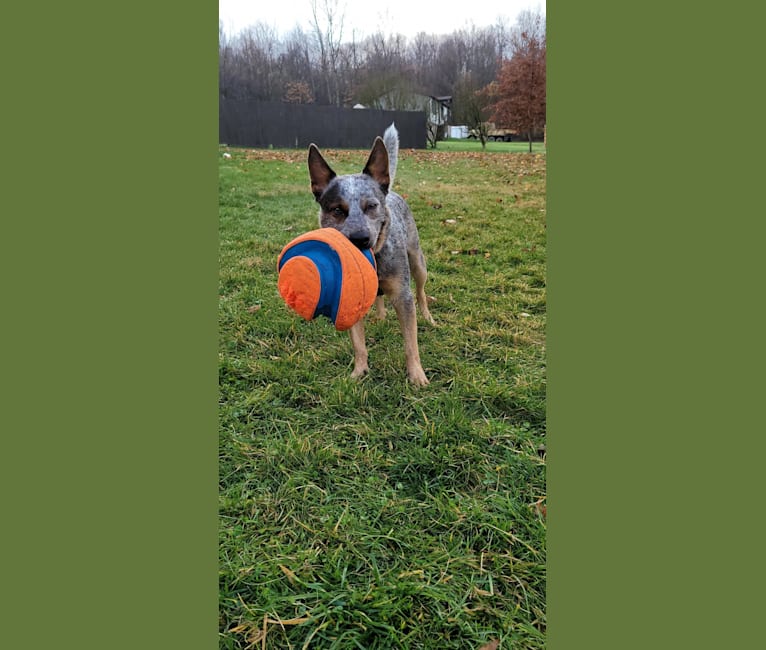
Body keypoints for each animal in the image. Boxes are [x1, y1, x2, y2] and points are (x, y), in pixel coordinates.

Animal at [308, 123, 438, 382]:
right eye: (337, 210)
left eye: (371, 206)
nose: (360, 239)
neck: (375, 260)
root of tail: (391, 191)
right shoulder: (349, 296)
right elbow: (359, 344)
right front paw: (359, 372)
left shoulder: (402, 296)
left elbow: (411, 344)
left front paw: (417, 376)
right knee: (377, 296)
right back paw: (380, 316)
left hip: (418, 262)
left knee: (420, 291)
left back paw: (427, 316)